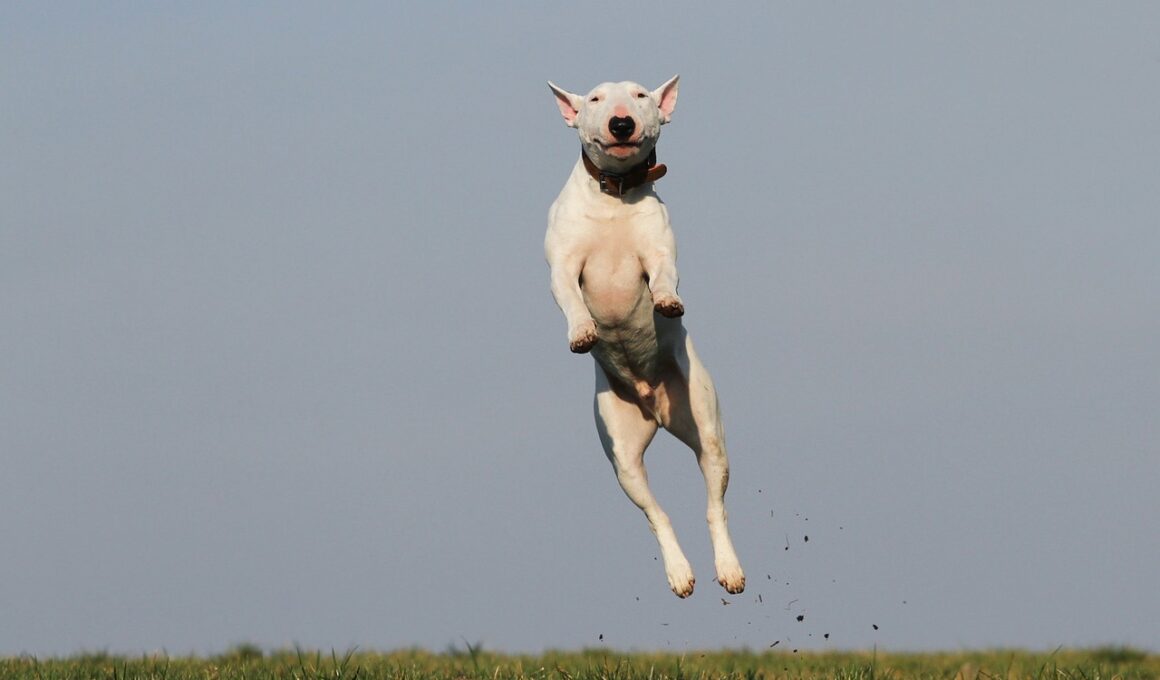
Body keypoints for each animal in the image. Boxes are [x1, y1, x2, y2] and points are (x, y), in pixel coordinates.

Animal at [544, 76, 745, 598]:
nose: (621, 123)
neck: (614, 198)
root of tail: (653, 404)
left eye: (639, 95)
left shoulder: (657, 253)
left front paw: (667, 303)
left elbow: (663, 276)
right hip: (622, 458)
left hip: (706, 426)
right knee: (657, 514)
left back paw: (728, 569)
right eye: (595, 99)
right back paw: (679, 572)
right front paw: (583, 332)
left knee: (714, 506)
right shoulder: (563, 264)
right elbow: (570, 298)